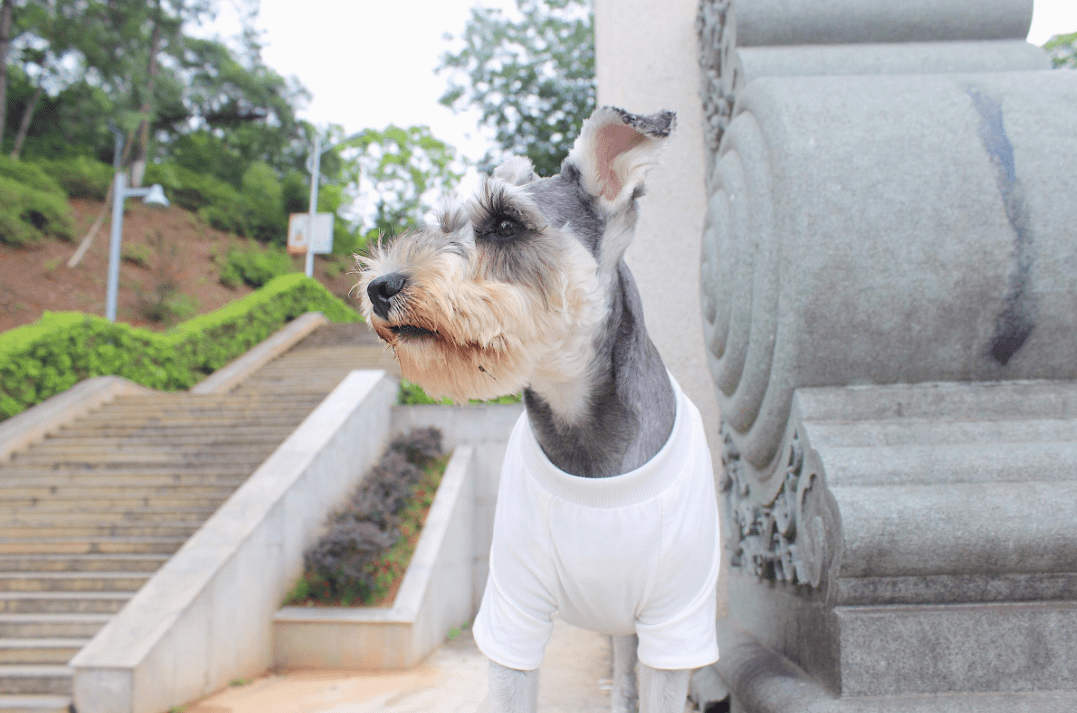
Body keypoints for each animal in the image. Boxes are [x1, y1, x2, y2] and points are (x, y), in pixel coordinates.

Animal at [357, 107, 719, 713]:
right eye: (445, 223)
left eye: (507, 224)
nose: (381, 286)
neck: (581, 428)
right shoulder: (512, 613)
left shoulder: (676, 625)